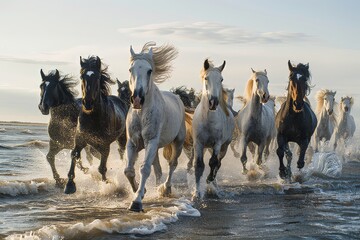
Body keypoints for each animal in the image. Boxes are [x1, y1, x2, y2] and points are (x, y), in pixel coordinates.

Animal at [63, 55, 128, 193]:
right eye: (82, 76)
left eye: (97, 77)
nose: (88, 103)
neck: (92, 117)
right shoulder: (80, 140)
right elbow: (74, 154)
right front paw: (70, 184)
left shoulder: (104, 144)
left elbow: (102, 167)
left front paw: (107, 184)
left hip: (122, 137)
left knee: (122, 151)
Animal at [124, 42, 187, 211]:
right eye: (130, 69)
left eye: (149, 70)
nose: (137, 99)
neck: (141, 114)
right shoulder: (133, 142)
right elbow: (129, 171)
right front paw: (141, 191)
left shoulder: (151, 141)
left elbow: (144, 169)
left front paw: (137, 201)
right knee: (158, 169)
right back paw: (158, 188)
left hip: (177, 142)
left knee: (172, 165)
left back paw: (166, 189)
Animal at [193, 59, 235, 200]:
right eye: (206, 78)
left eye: (221, 79)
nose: (213, 102)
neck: (207, 120)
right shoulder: (199, 144)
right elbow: (199, 165)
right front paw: (196, 193)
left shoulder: (217, 143)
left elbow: (213, 163)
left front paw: (209, 179)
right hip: (207, 147)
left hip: (223, 147)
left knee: (218, 163)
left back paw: (214, 184)